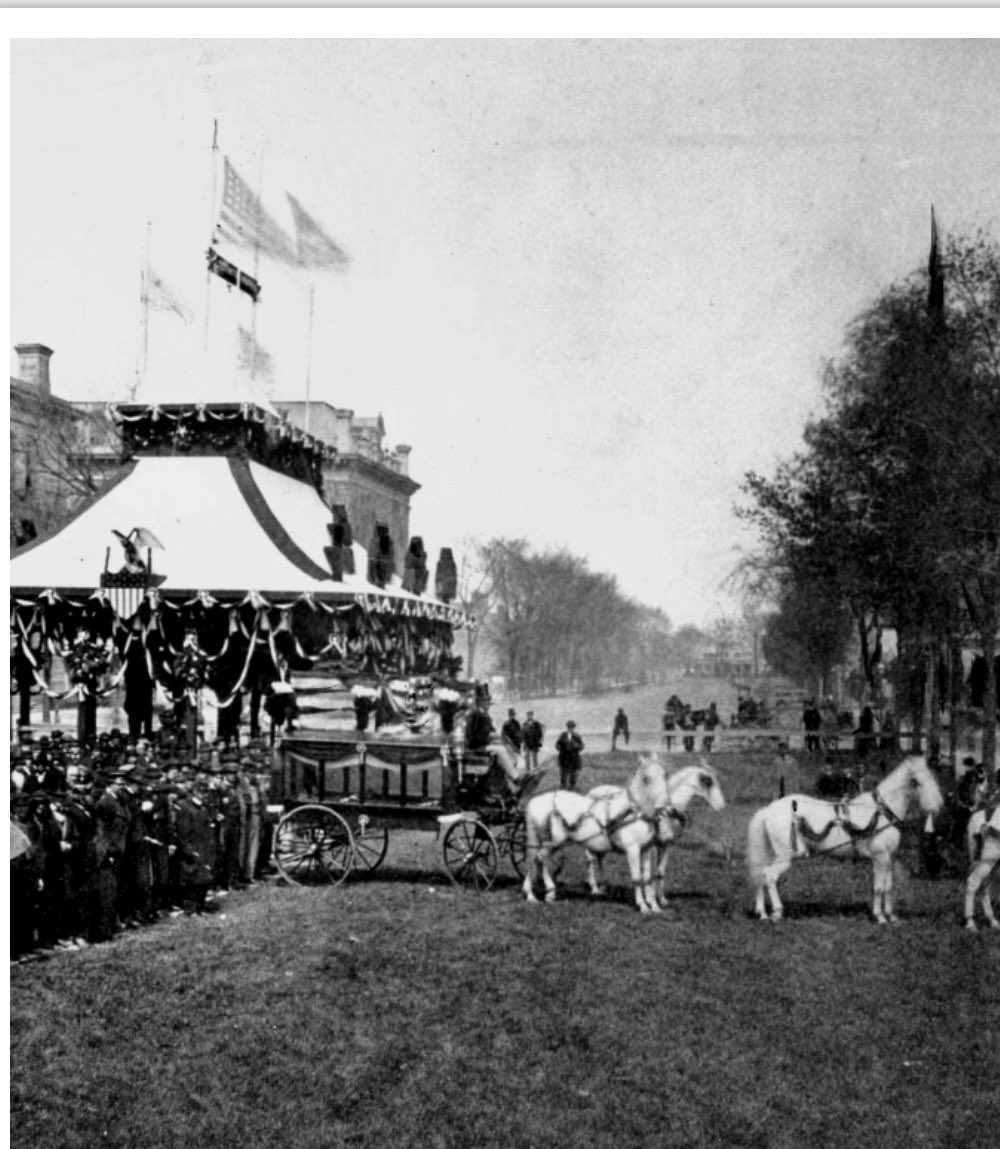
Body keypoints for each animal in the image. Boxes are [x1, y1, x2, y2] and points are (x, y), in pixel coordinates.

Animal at [524, 753, 671, 914]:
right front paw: (643, 906)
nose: (665, 806)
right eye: (646, 779)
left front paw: (654, 906)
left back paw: (534, 893)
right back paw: (547, 893)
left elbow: (647, 878)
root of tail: (535, 801)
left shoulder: (646, 849)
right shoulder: (632, 849)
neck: (632, 814)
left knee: (535, 860)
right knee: (540, 858)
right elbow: (637, 878)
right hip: (555, 842)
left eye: (665, 775)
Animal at [586, 758, 726, 910]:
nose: (722, 806)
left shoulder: (665, 845)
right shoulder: (652, 846)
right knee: (591, 860)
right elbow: (649, 874)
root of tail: (592, 792)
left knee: (600, 858)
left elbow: (660, 872)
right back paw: (594, 888)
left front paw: (661, 900)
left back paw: (603, 886)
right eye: (709, 782)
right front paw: (650, 900)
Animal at [749, 753, 942, 923]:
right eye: (917, 782)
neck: (881, 812)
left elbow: (888, 886)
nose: (938, 806)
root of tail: (768, 810)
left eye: (933, 777)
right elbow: (879, 887)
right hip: (787, 856)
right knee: (770, 876)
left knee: (761, 875)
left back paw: (762, 913)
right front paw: (879, 916)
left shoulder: (889, 857)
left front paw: (891, 916)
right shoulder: (879, 857)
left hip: (774, 855)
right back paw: (777, 912)